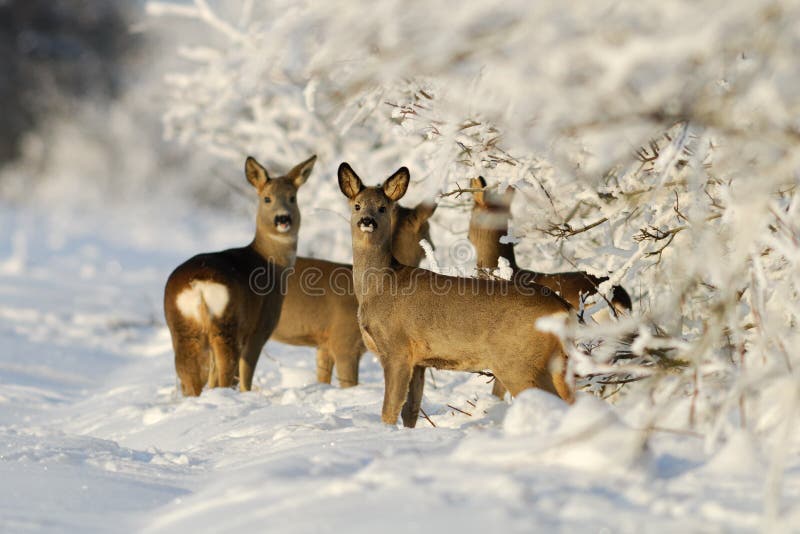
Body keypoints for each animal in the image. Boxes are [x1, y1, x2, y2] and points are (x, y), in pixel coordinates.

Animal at [165, 155, 316, 398]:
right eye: (267, 198)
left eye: (293, 198)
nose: (283, 218)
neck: (271, 264)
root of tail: (198, 283)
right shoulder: (261, 325)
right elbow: (246, 372)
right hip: (227, 323)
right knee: (227, 369)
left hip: (181, 326)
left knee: (190, 371)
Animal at [338, 161, 576, 430]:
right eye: (357, 205)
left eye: (382, 207)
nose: (367, 221)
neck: (379, 287)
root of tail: (563, 308)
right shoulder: (420, 361)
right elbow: (411, 411)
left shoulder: (397, 348)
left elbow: (389, 409)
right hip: (557, 362)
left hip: (518, 362)